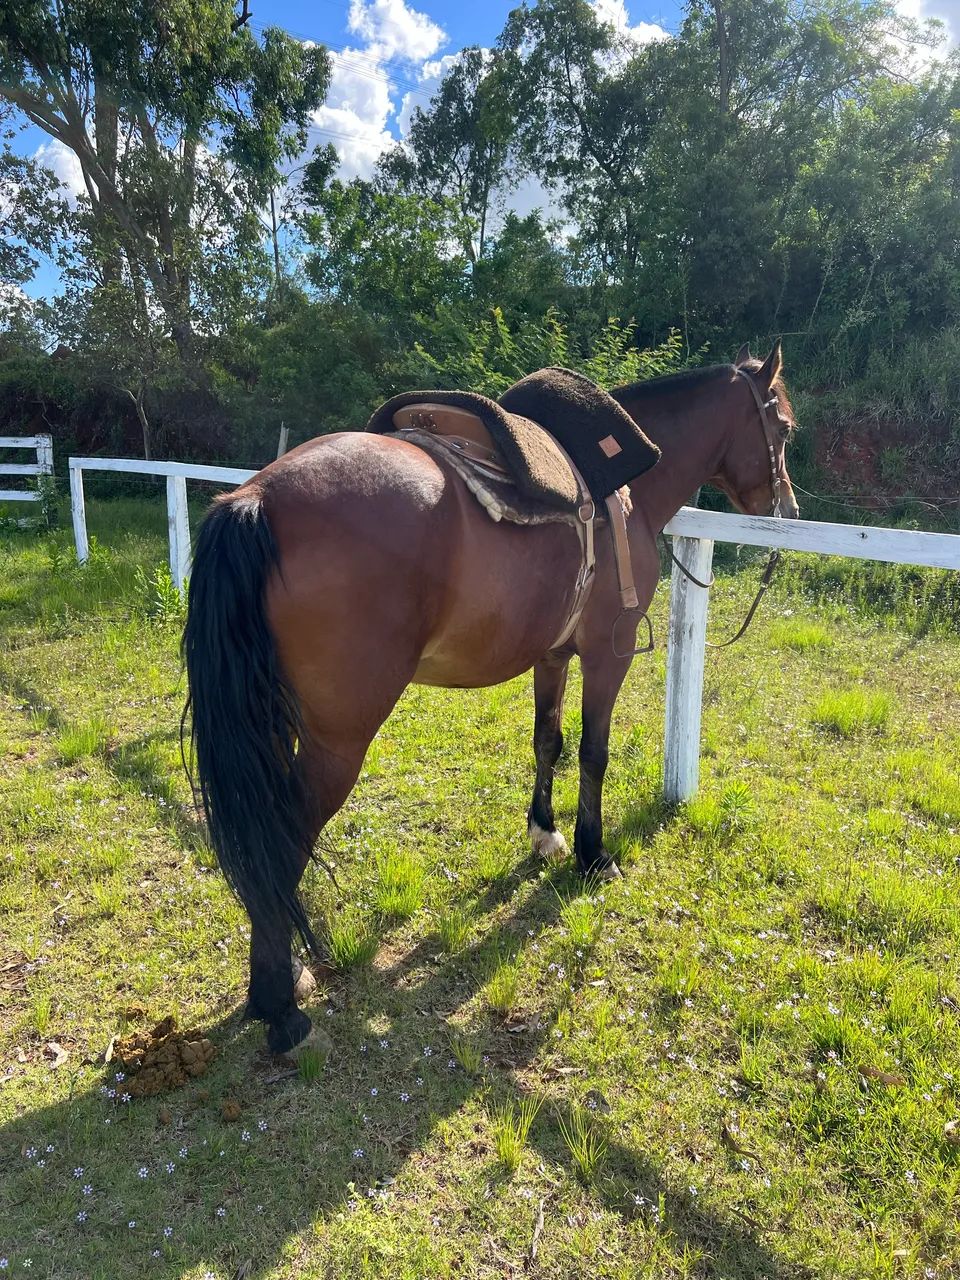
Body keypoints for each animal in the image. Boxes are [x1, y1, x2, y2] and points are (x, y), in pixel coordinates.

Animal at [183, 342, 799, 1056]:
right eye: (783, 427)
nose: (786, 509)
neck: (628, 490)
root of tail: (257, 496)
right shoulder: (607, 653)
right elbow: (593, 752)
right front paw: (592, 855)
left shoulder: (553, 655)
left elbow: (548, 740)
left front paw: (545, 833)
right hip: (337, 741)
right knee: (282, 840)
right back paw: (280, 1008)